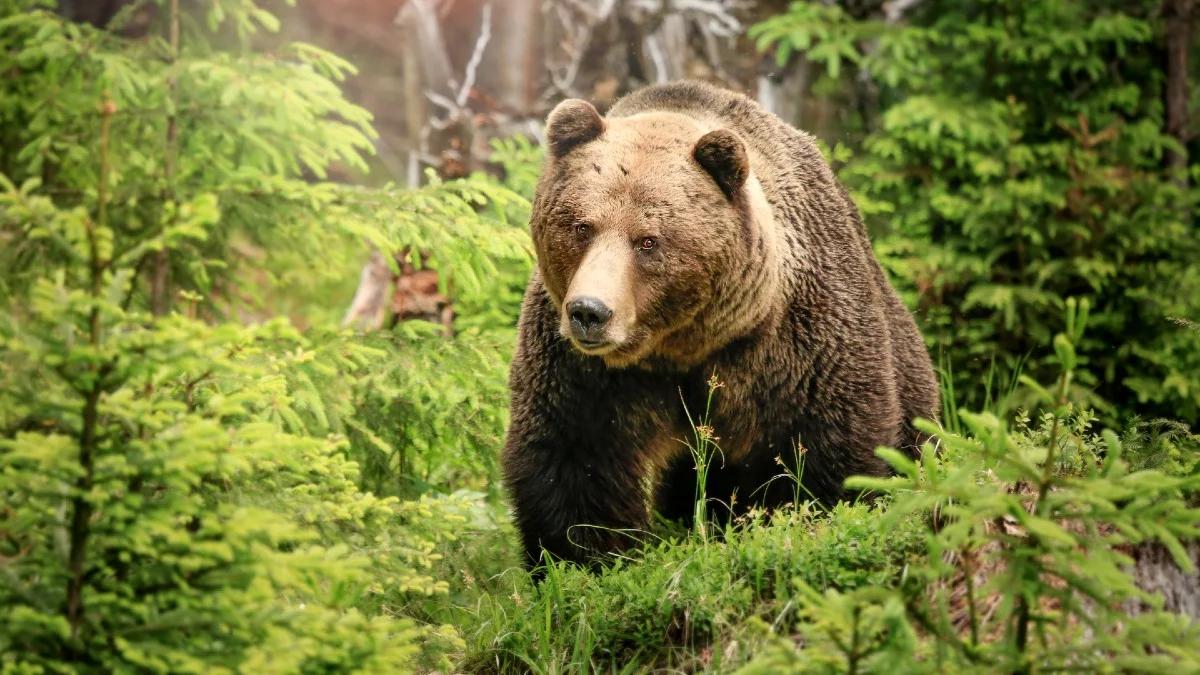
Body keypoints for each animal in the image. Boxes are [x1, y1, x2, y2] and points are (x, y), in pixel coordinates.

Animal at [501, 81, 940, 569]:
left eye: (648, 240)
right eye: (582, 227)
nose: (590, 312)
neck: (680, 345)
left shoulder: (798, 347)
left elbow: (829, 450)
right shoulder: (583, 372)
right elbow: (575, 460)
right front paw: (585, 560)